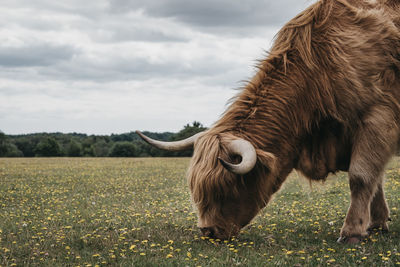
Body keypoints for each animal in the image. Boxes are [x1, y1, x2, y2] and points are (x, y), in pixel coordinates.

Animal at [137, 0, 400, 244]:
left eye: (227, 186)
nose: (208, 231)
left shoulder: (378, 117)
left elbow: (361, 176)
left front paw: (353, 231)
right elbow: (376, 179)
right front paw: (376, 223)